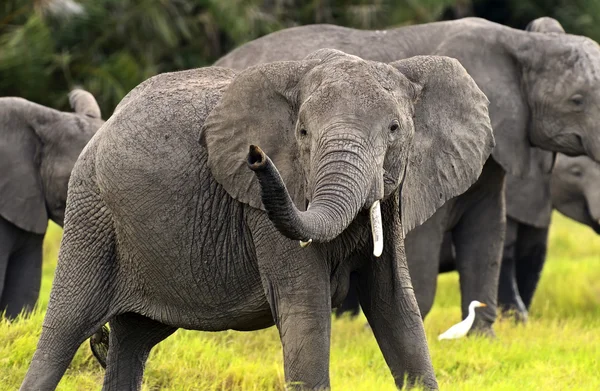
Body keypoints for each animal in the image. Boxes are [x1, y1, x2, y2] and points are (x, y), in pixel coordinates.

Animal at [21, 49, 494, 391]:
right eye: (302, 134)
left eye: (395, 129)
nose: (256, 156)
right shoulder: (262, 211)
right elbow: (306, 310)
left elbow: (396, 308)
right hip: (91, 214)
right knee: (62, 333)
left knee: (132, 340)